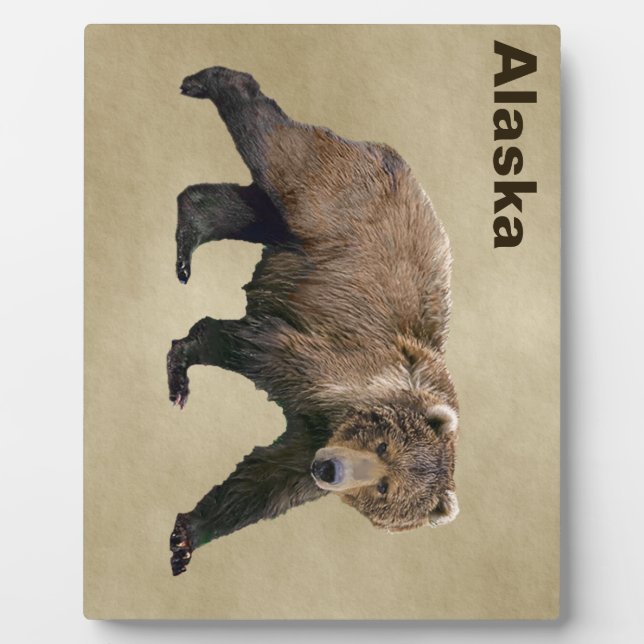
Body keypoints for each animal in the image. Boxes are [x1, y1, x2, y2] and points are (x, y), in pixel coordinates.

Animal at [167, 66, 459, 576]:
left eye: (384, 488)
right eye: (383, 449)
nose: (331, 469)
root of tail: (384, 151)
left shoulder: (313, 437)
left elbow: (264, 481)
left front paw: (187, 538)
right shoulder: (331, 362)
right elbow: (250, 345)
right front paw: (183, 369)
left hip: (303, 232)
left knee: (244, 208)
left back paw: (190, 230)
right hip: (330, 199)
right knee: (273, 143)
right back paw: (207, 82)